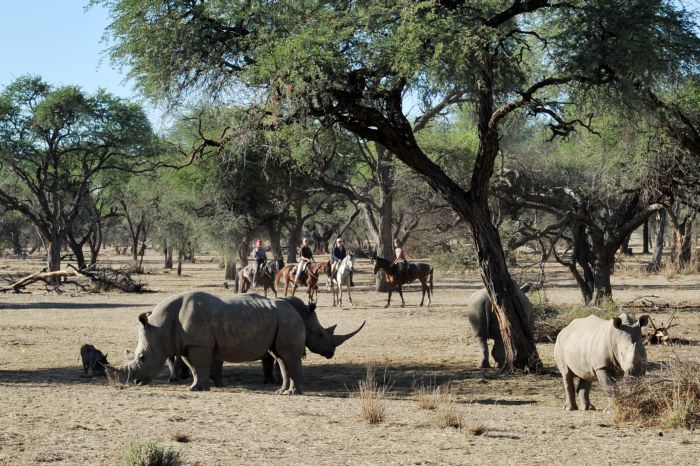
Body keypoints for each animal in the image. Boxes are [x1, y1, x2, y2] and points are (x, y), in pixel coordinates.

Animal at [111, 292, 364, 394]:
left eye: (142, 358)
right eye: (321, 336)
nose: (135, 381)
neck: (160, 327)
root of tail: (292, 309)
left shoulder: (198, 344)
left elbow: (199, 365)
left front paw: (196, 389)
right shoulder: (188, 344)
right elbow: (194, 367)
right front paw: (197, 387)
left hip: (286, 320)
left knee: (287, 357)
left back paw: (293, 393)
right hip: (281, 319)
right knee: (282, 357)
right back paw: (283, 392)